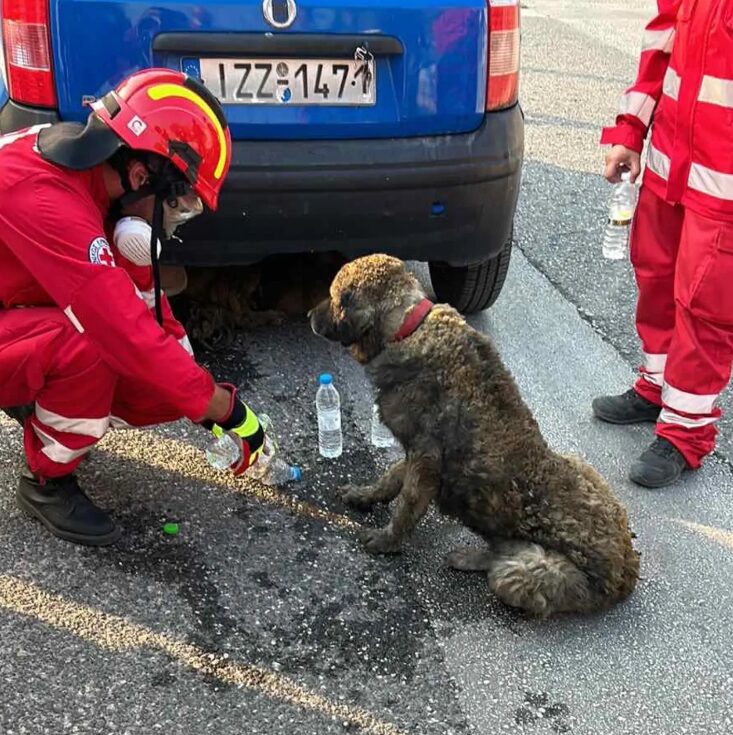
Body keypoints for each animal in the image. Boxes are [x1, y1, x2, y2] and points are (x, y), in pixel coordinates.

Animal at [310, 256, 640, 620]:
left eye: (333, 296)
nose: (309, 316)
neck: (410, 325)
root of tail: (628, 568)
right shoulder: (416, 451)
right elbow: (390, 478)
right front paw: (365, 494)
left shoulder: (424, 460)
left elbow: (406, 505)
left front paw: (388, 541)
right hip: (577, 461)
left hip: (524, 571)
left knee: (505, 570)